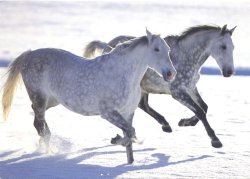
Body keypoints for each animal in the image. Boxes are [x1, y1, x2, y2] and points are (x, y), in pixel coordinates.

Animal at [1, 29, 176, 164]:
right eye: (156, 49)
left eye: (168, 49)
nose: (171, 73)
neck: (123, 74)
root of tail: (29, 55)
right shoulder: (108, 113)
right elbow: (130, 133)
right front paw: (115, 140)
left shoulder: (128, 113)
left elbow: (130, 138)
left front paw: (130, 163)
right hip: (40, 97)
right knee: (38, 123)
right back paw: (48, 151)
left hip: (52, 101)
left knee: (38, 120)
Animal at [83, 24, 235, 148]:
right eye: (223, 46)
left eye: (233, 47)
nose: (229, 72)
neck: (187, 57)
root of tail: (107, 45)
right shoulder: (178, 92)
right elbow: (200, 111)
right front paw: (215, 140)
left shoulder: (191, 88)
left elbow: (204, 107)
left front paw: (185, 122)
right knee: (141, 106)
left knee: (143, 105)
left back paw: (165, 125)